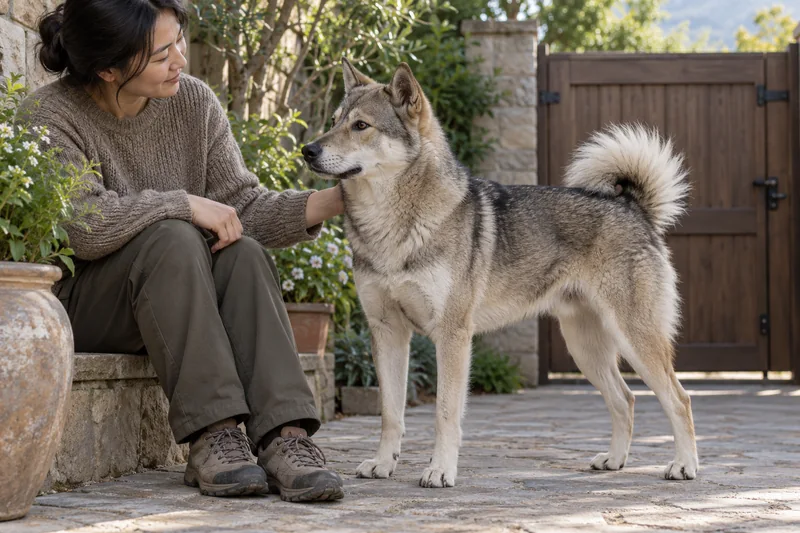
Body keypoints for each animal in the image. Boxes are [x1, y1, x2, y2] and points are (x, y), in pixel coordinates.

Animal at [301, 58, 699, 488]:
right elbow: (390, 414)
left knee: (679, 398)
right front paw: (383, 464)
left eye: (361, 125)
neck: (392, 227)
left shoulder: (452, 336)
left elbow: (445, 414)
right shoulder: (388, 332)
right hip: (585, 349)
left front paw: (440, 470)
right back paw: (614, 460)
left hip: (635, 341)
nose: (307, 150)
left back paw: (684, 466)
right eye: (334, 121)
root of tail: (632, 206)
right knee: (625, 399)